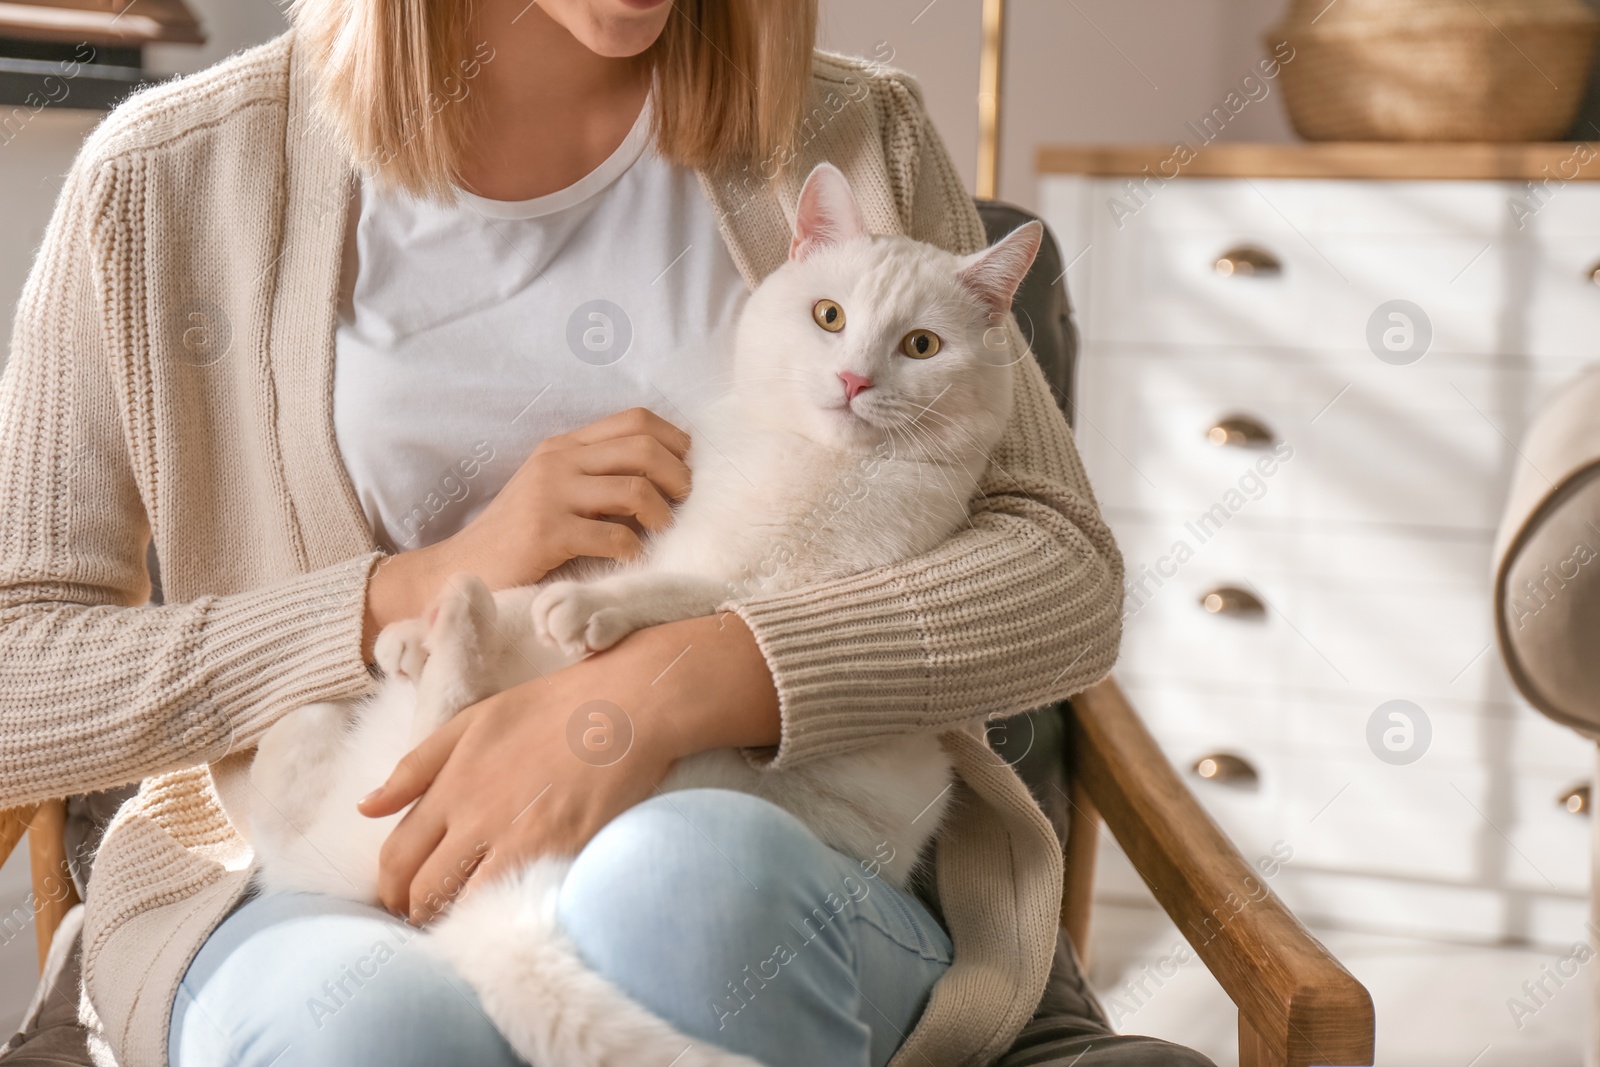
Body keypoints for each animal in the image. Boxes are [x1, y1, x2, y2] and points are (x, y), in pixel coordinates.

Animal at [248, 164, 1043, 1067]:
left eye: (920, 347)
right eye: (829, 317)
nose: (853, 381)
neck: (808, 461)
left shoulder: (788, 588)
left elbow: (686, 596)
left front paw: (582, 609)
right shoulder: (675, 535)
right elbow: (599, 584)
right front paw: (407, 635)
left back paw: (455, 628)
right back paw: (413, 649)